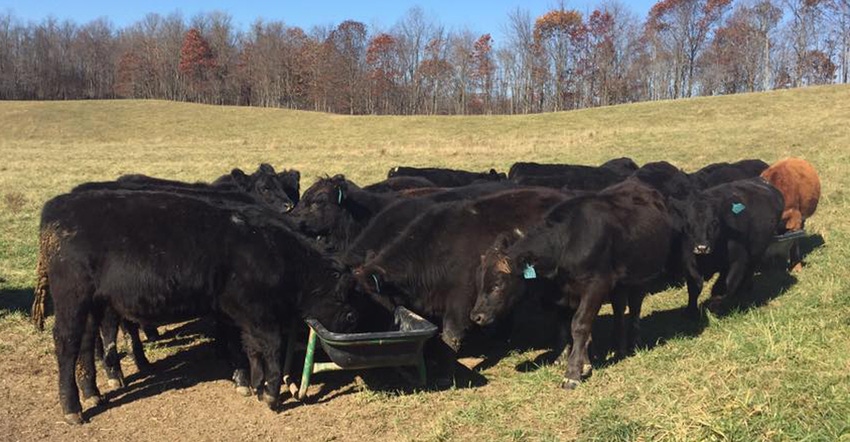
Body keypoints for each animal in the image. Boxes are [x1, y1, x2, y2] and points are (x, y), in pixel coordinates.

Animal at [34, 191, 354, 424]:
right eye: (350, 309)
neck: (271, 248)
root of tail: (57, 206)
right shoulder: (257, 311)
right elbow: (270, 347)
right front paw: (270, 394)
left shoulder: (238, 312)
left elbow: (248, 347)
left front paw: (251, 382)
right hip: (72, 299)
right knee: (67, 344)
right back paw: (72, 407)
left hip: (94, 304)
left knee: (86, 344)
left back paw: (92, 393)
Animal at [468, 178, 672, 388]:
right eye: (479, 282)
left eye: (498, 284)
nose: (476, 316)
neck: (566, 243)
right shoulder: (563, 294)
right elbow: (566, 325)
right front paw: (574, 361)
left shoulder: (595, 287)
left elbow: (580, 325)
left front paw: (573, 373)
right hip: (620, 283)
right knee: (619, 307)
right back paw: (619, 345)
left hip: (641, 275)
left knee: (635, 306)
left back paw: (634, 342)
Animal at [672, 178, 784, 316]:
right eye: (688, 223)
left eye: (715, 222)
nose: (702, 247)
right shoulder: (689, 263)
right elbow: (694, 288)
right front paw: (691, 312)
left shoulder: (737, 261)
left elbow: (724, 285)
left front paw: (715, 306)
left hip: (758, 251)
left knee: (748, 271)